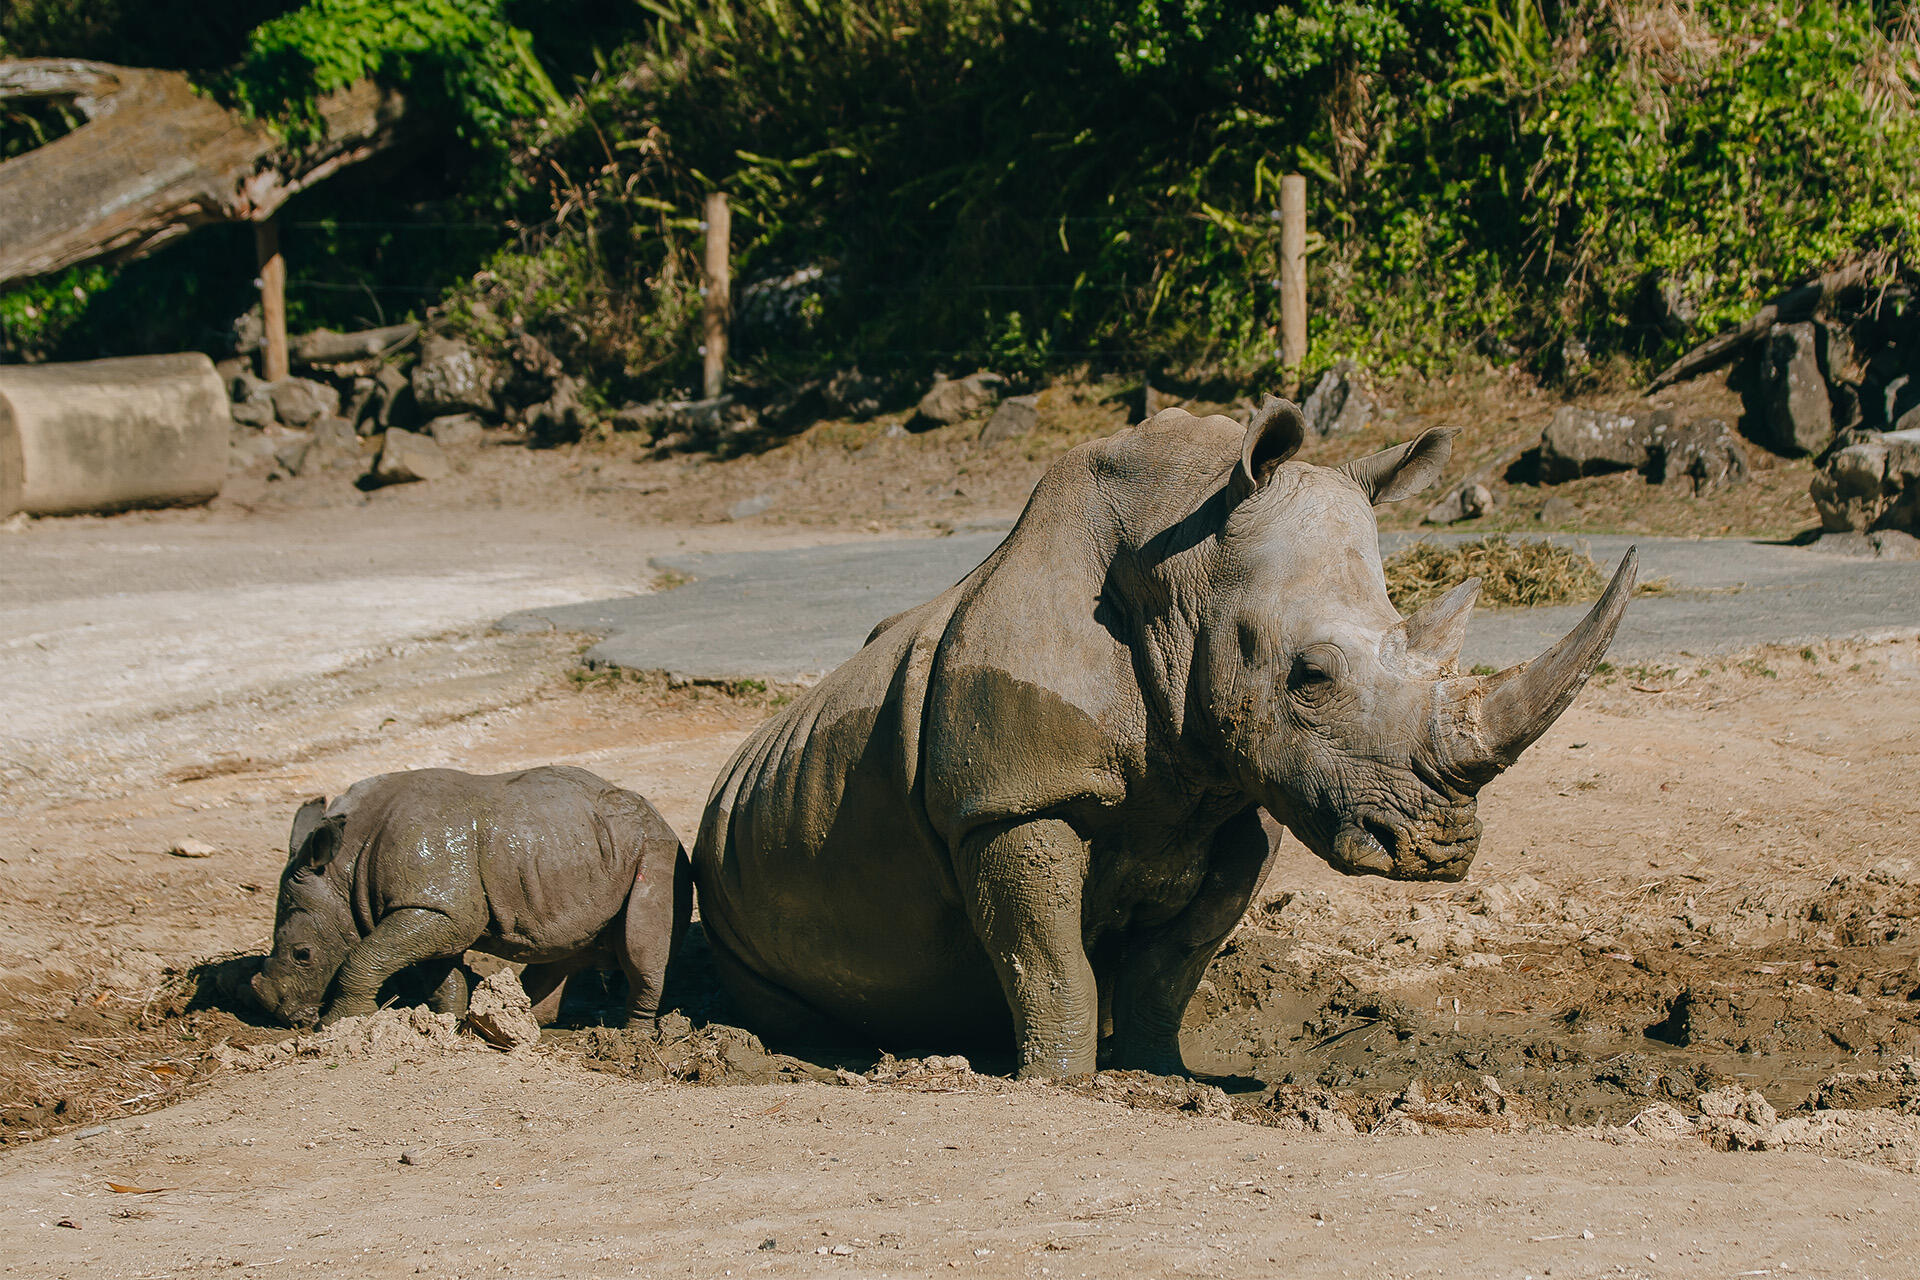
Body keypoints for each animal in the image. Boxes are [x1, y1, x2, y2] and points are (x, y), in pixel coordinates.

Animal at [251, 771, 691, 1028]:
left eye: (303, 955)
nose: (282, 1015)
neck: (343, 868)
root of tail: (660, 817)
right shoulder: (433, 908)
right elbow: (436, 969)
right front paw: (448, 1022)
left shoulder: (439, 906)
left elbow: (364, 955)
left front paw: (341, 1025)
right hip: (581, 853)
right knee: (562, 948)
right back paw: (522, 1023)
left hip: (658, 850)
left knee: (641, 946)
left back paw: (632, 1041)